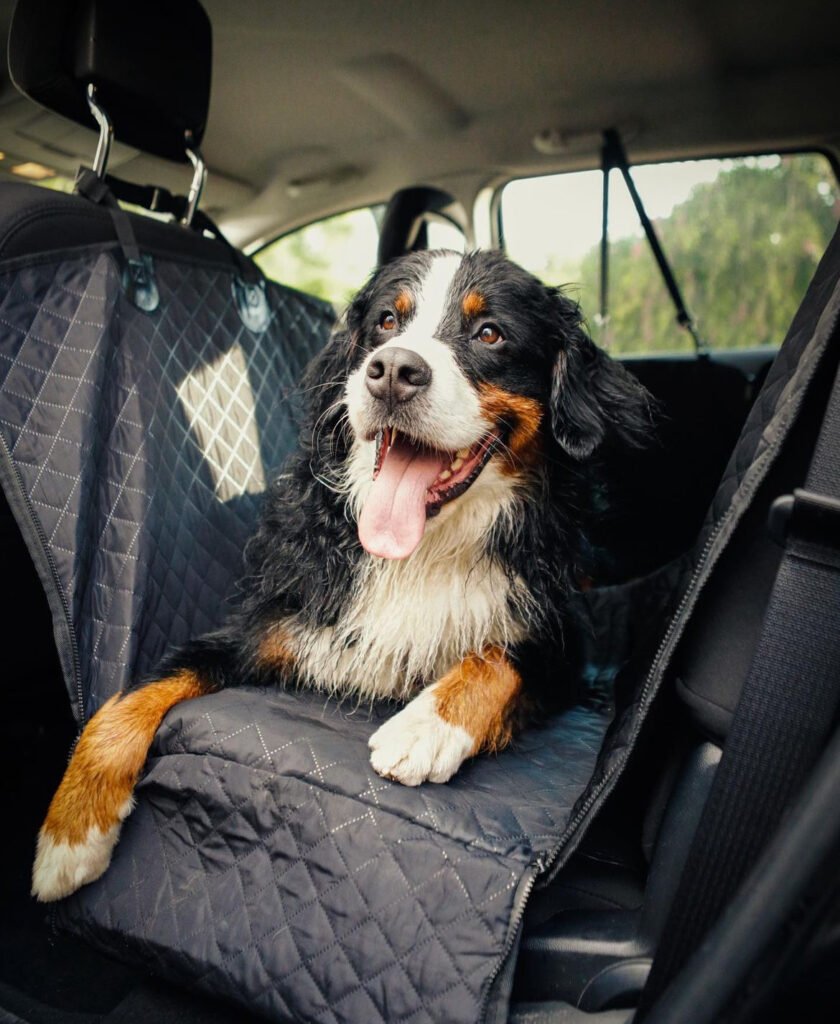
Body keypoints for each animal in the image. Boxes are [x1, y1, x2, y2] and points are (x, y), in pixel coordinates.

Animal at [31, 249, 651, 905]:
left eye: (490, 334)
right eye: (386, 322)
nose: (394, 371)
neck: (421, 552)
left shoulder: (566, 642)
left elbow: (498, 657)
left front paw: (425, 726)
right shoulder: (268, 623)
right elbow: (130, 697)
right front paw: (69, 835)